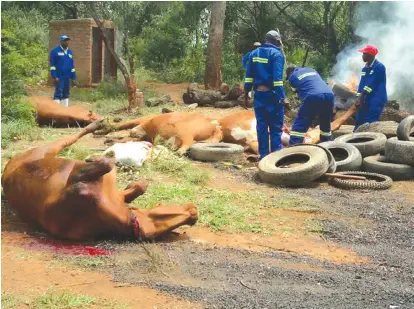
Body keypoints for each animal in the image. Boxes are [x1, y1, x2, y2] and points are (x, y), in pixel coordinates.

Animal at [1, 119, 199, 242]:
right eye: (160, 205)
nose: (194, 212)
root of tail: (9, 164)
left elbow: (134, 182)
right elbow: (110, 164)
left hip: (48, 149)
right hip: (48, 149)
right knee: (75, 136)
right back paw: (97, 125)